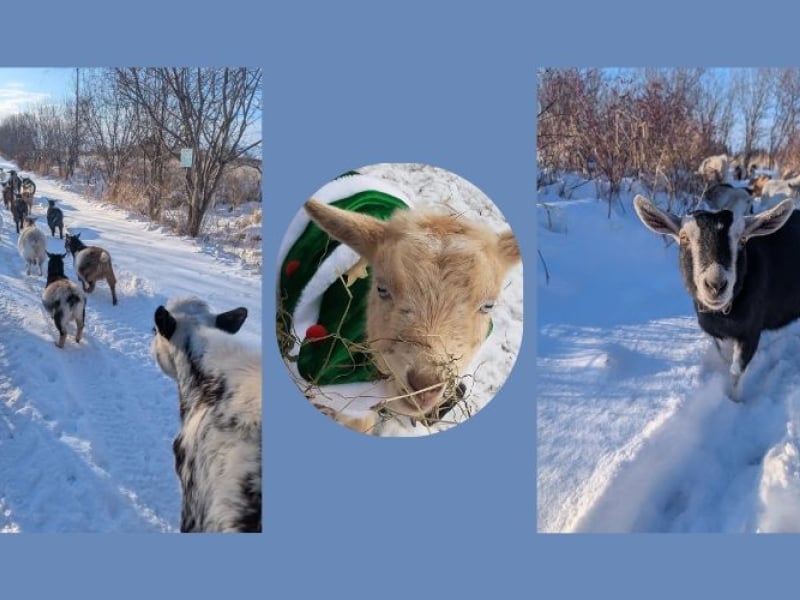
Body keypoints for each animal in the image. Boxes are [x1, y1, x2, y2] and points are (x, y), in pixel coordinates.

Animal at [633, 194, 800, 399]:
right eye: (684, 237)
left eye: (742, 239)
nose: (716, 285)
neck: (723, 315)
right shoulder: (717, 333)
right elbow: (725, 359)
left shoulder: (751, 330)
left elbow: (736, 370)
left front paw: (734, 401)